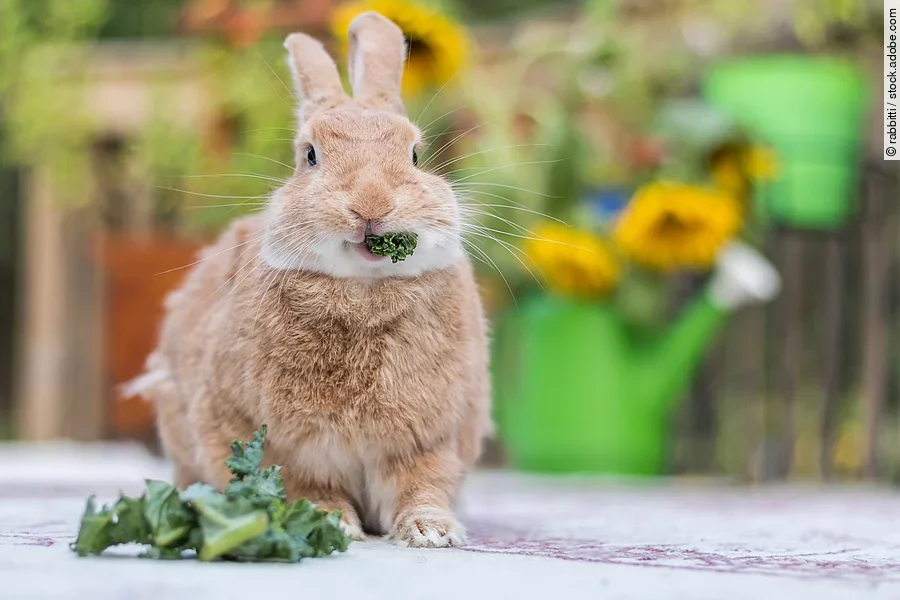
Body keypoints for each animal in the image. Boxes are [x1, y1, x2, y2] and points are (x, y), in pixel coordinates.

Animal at [133, 12, 491, 548]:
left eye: (414, 154)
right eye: (310, 156)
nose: (370, 203)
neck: (362, 289)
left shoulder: (430, 440)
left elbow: (422, 484)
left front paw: (432, 531)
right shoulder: (283, 444)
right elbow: (306, 486)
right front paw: (331, 523)